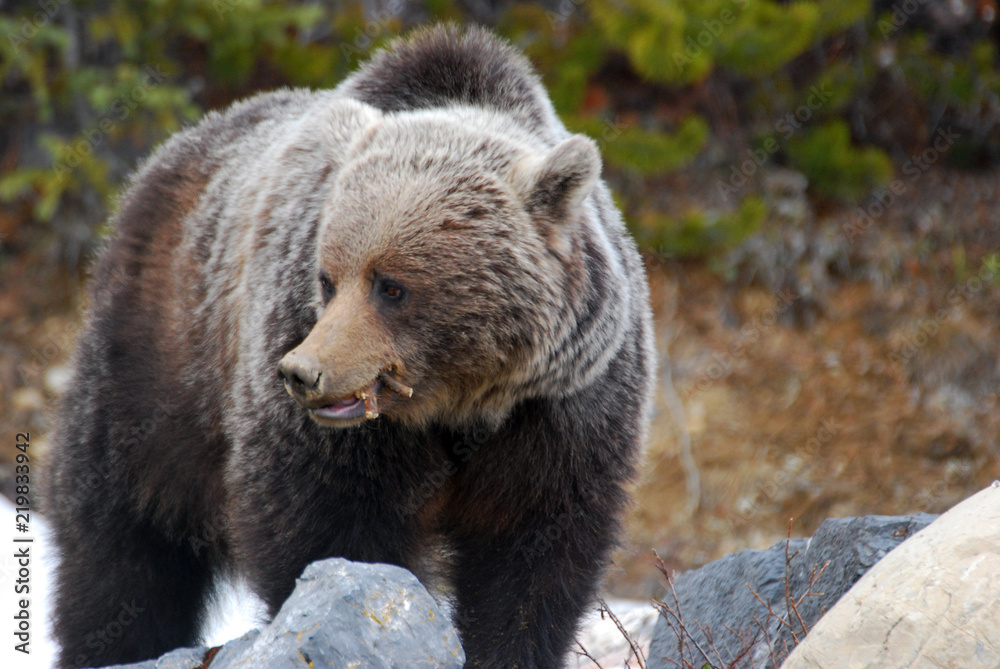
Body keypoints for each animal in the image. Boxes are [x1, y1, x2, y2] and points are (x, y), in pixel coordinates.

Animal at [45, 24, 655, 669]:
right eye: (327, 278)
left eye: (392, 286)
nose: (302, 372)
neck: (458, 405)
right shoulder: (329, 438)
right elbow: (329, 538)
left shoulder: (561, 414)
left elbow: (532, 560)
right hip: (158, 366)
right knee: (121, 547)